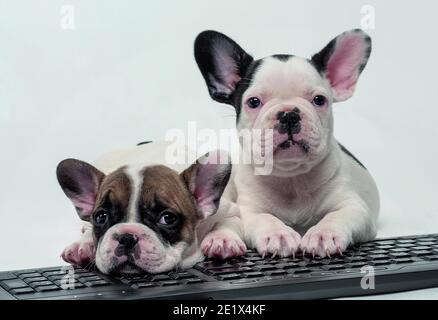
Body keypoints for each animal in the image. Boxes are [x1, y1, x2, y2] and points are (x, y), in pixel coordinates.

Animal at [57, 143, 233, 276]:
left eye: (167, 218)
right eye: (101, 217)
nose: (127, 237)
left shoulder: (228, 208)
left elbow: (229, 220)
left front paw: (223, 240)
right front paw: (82, 245)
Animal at [195, 28, 380, 258]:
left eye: (319, 100)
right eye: (253, 102)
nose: (289, 115)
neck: (291, 178)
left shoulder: (353, 206)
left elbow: (337, 216)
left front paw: (323, 234)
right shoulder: (250, 209)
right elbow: (264, 218)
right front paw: (278, 234)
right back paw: (222, 239)